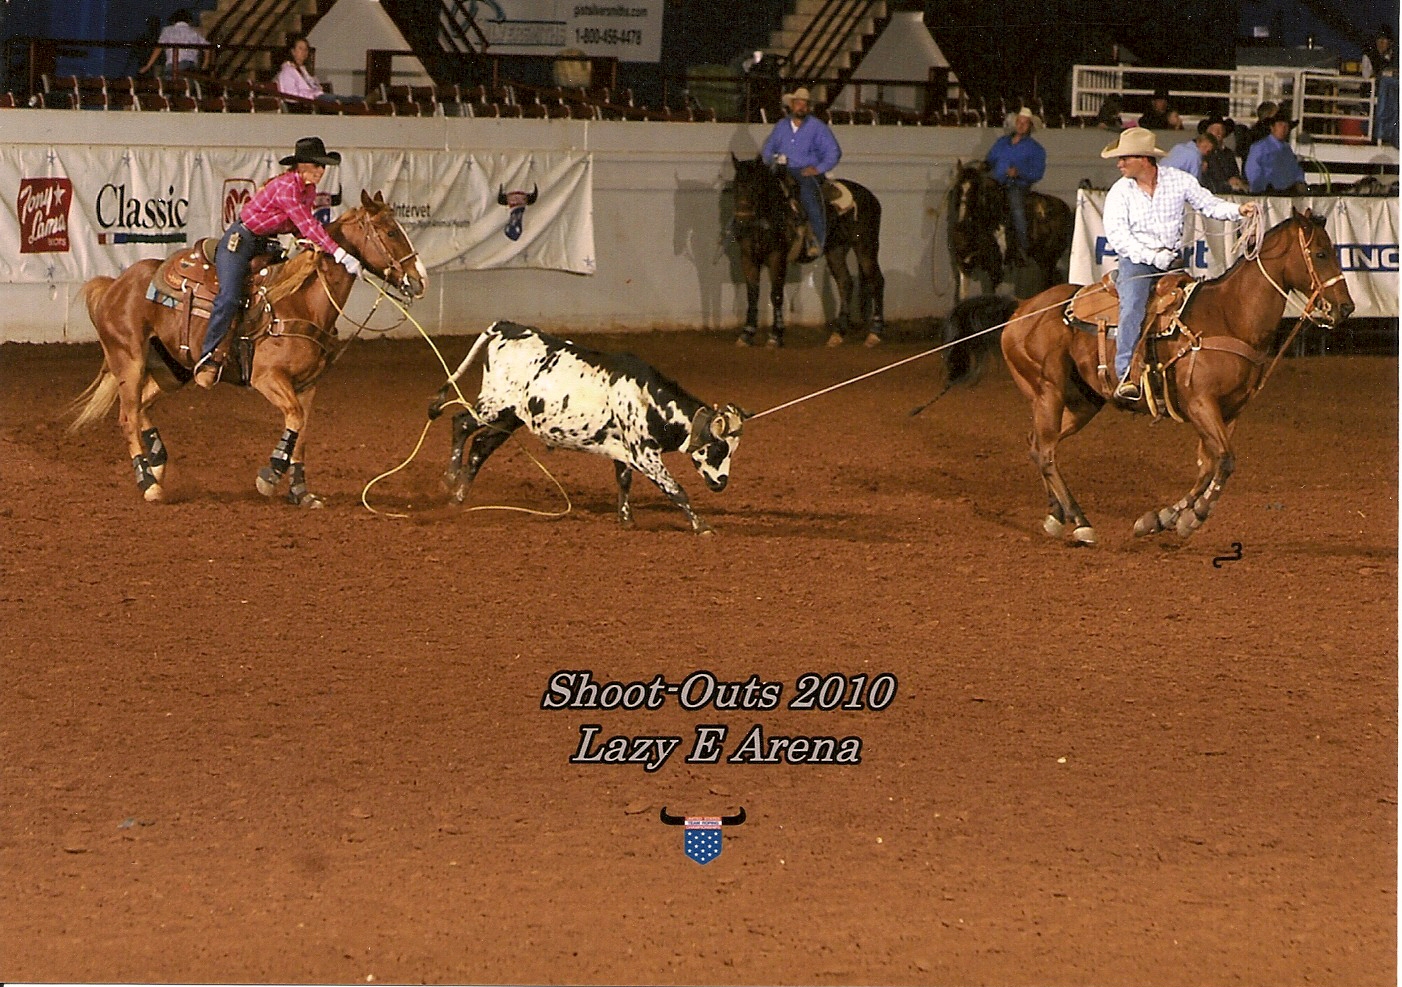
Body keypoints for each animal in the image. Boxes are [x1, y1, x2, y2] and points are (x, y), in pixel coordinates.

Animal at [68, 189, 427, 507]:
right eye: (391, 232)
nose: (419, 280)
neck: (302, 301)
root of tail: (115, 285)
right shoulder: (268, 378)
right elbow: (294, 419)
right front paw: (269, 476)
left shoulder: (308, 385)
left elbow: (302, 434)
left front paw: (301, 493)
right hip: (128, 359)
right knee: (127, 416)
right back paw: (148, 484)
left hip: (172, 369)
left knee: (142, 405)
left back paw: (157, 463)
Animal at [427, 321, 748, 534]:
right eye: (719, 449)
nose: (722, 483)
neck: (649, 398)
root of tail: (505, 327)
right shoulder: (644, 454)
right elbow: (675, 489)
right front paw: (702, 526)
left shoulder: (624, 451)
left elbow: (624, 482)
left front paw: (626, 519)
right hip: (493, 405)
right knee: (460, 424)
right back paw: (448, 479)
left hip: (510, 418)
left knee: (480, 447)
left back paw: (458, 497)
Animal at [728, 153, 885, 348]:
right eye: (735, 186)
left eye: (755, 187)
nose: (741, 222)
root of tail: (871, 197)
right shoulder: (748, 258)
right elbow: (752, 294)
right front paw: (746, 334)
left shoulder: (777, 257)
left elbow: (776, 295)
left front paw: (775, 336)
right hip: (836, 250)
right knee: (845, 283)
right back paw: (838, 334)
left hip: (866, 245)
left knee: (876, 281)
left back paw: (874, 333)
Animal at [943, 208, 1353, 545]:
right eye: (1321, 254)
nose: (1346, 307)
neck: (1228, 315)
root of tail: (1020, 308)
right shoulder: (1200, 404)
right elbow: (1225, 461)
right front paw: (1191, 518)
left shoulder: (1229, 411)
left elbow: (1209, 466)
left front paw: (1163, 518)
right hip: (1047, 392)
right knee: (1044, 452)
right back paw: (1081, 522)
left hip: (1081, 402)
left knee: (1038, 446)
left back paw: (1056, 516)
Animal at [946, 160, 1073, 298]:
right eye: (957, 188)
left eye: (976, 189)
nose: (961, 224)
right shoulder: (964, 266)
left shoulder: (996, 269)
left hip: (1048, 260)